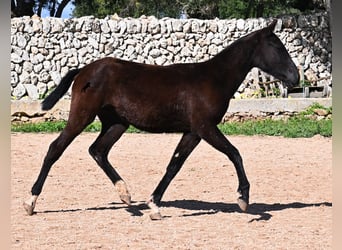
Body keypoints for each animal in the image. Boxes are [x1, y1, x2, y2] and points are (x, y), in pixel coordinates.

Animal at [22, 19, 298, 219]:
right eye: (277, 47)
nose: (295, 77)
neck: (213, 78)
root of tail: (83, 71)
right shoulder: (205, 127)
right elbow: (235, 153)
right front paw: (243, 199)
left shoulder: (193, 132)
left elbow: (174, 165)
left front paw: (154, 205)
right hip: (82, 116)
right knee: (56, 148)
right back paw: (30, 202)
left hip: (117, 123)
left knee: (98, 150)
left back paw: (126, 196)